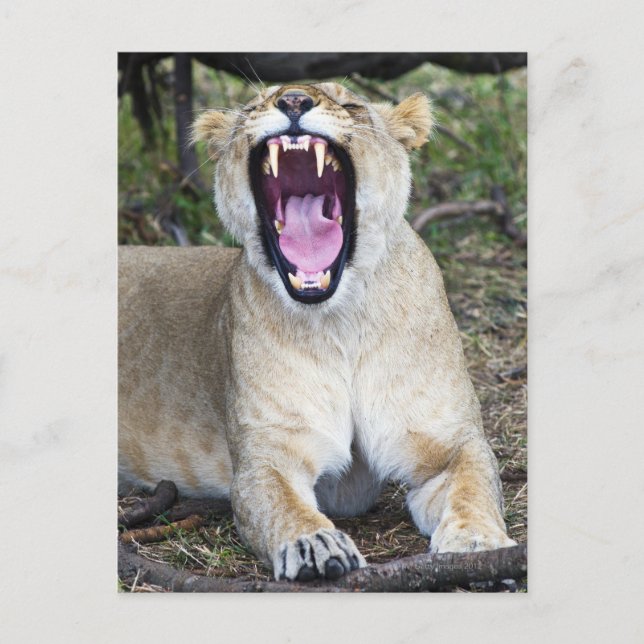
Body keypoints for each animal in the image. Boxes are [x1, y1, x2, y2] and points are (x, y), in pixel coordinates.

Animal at [118, 82, 516, 582]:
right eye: (253, 106)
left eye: (350, 104)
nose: (292, 100)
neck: (339, 321)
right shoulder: (269, 453)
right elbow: (281, 504)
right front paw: (313, 545)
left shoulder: (447, 443)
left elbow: (475, 485)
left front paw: (477, 544)